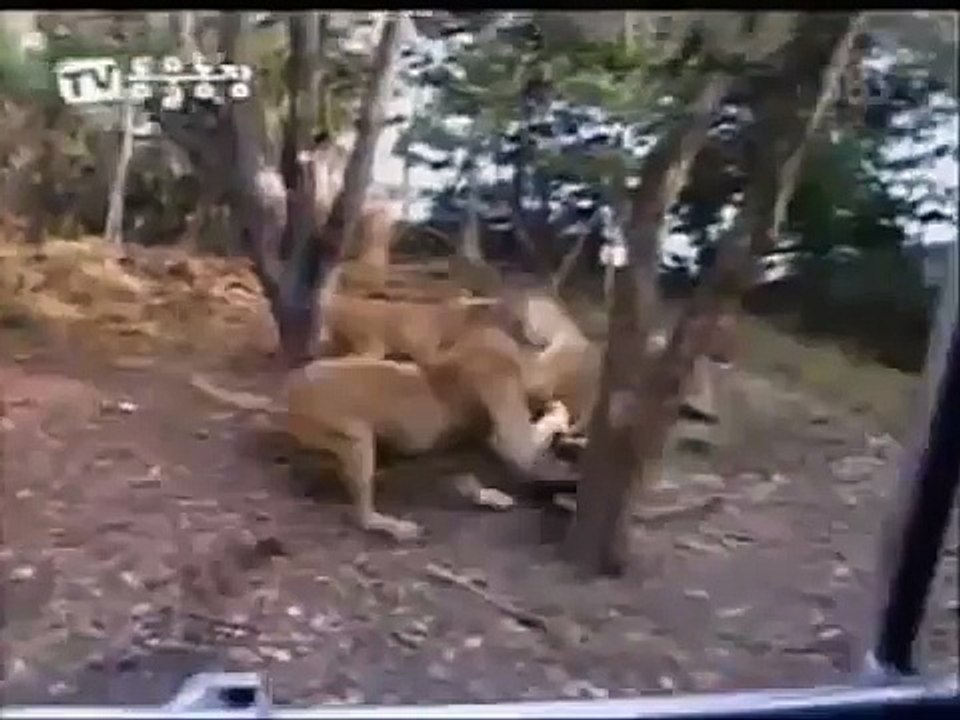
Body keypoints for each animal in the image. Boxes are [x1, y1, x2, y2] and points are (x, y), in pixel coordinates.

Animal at [190, 323, 575, 542]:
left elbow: (468, 478)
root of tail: (285, 396)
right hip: (357, 439)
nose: (541, 388)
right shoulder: (508, 431)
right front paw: (559, 410)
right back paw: (392, 526)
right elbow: (524, 444)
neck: (453, 367)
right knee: (361, 514)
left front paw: (489, 495)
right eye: (517, 360)